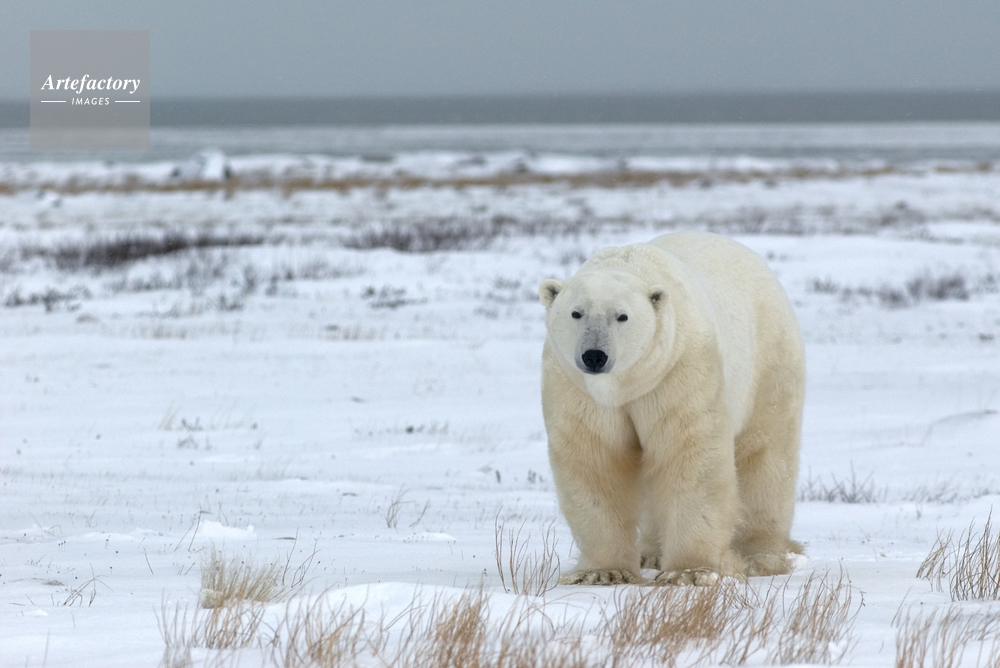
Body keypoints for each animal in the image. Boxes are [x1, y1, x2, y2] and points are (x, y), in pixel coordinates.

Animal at [538, 231, 804, 586]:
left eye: (622, 316)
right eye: (576, 313)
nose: (594, 356)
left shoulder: (679, 369)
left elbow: (688, 453)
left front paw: (689, 572)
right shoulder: (577, 387)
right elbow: (596, 459)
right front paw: (603, 572)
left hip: (768, 361)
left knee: (765, 455)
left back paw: (759, 556)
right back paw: (651, 552)